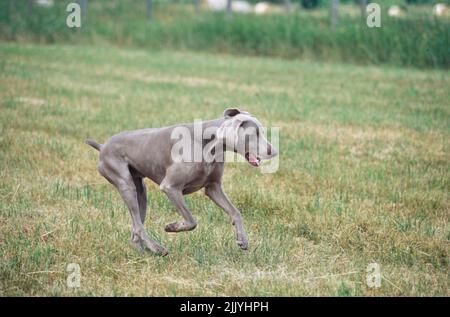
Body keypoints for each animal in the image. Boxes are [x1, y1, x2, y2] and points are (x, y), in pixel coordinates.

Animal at [85, 107, 276, 256]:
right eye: (255, 133)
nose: (274, 151)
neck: (208, 143)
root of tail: (103, 146)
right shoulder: (170, 187)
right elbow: (191, 221)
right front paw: (172, 227)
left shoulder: (213, 188)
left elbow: (236, 212)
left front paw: (242, 239)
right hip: (124, 182)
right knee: (138, 225)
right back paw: (157, 249)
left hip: (141, 190)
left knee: (136, 225)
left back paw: (143, 251)